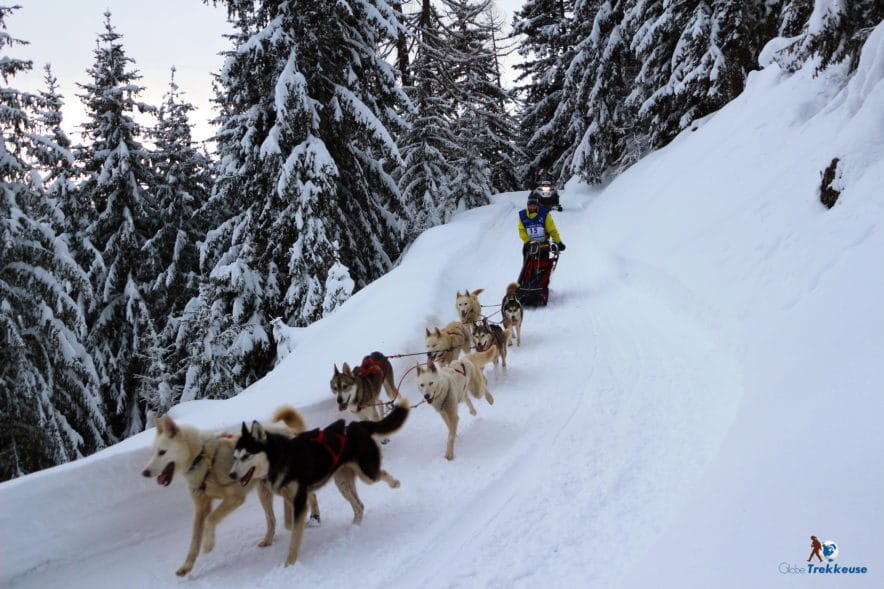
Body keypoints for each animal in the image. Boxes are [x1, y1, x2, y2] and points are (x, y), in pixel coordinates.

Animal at [138, 406, 318, 576]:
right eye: (153, 453)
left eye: (162, 452)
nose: (144, 473)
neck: (203, 459)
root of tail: (288, 431)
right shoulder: (201, 507)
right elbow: (194, 540)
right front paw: (187, 566)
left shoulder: (234, 498)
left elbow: (210, 519)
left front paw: (208, 544)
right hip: (264, 492)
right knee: (273, 518)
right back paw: (274, 534)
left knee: (309, 496)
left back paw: (312, 518)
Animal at [228, 400, 408, 564]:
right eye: (235, 457)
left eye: (246, 456)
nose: (231, 474)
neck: (281, 458)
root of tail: (358, 425)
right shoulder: (292, 498)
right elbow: (287, 523)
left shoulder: (300, 501)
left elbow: (294, 537)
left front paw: (289, 564)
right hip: (342, 483)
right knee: (359, 506)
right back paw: (354, 527)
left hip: (368, 474)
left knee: (381, 474)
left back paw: (395, 483)